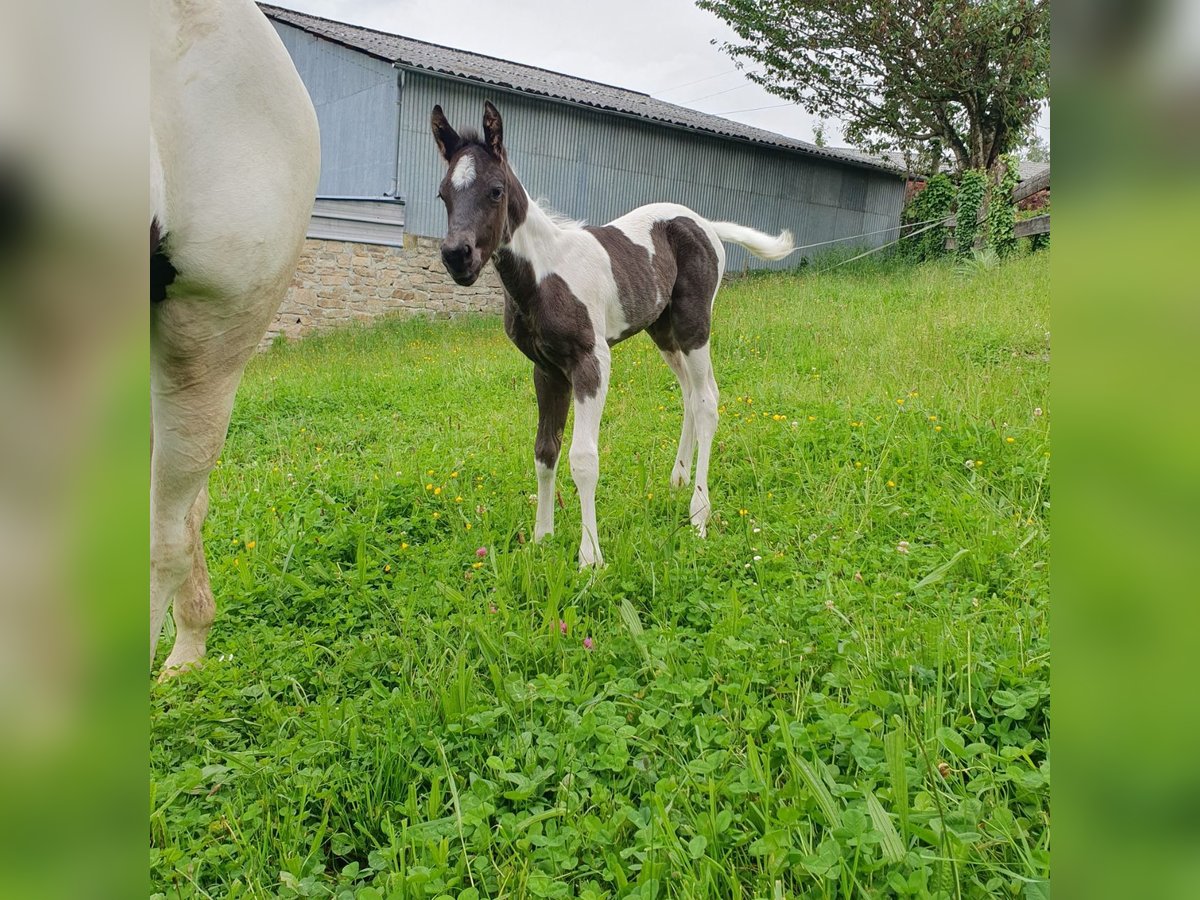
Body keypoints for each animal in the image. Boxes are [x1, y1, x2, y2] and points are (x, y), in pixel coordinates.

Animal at [434, 102, 796, 566]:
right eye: (444, 194)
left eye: (495, 190)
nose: (457, 257)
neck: (543, 276)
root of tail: (707, 225)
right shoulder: (546, 370)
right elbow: (545, 451)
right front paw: (542, 538)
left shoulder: (591, 361)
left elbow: (583, 457)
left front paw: (590, 557)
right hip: (663, 330)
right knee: (689, 394)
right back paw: (678, 479)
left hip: (694, 325)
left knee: (707, 401)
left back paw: (699, 513)